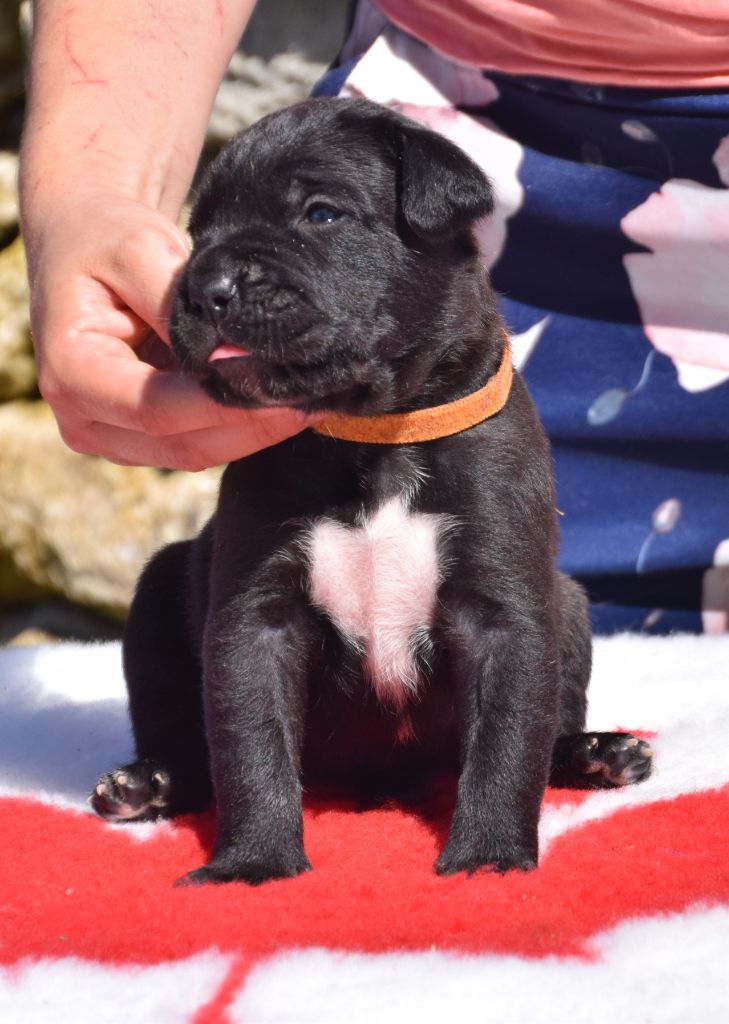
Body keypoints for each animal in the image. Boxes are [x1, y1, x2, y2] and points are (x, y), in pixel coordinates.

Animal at [88, 99, 651, 884]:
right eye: (198, 235)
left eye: (321, 214)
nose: (205, 289)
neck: (376, 433)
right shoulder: (254, 620)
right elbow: (249, 742)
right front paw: (253, 864)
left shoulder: (507, 616)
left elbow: (508, 741)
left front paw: (488, 859)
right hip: (157, 594)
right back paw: (148, 783)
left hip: (567, 604)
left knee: (549, 725)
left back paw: (597, 754)